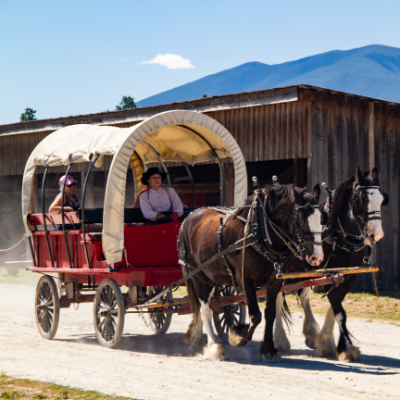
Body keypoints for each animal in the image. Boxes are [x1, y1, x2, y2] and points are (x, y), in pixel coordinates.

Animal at [180, 183, 326, 360]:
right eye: (300, 219)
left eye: (322, 219)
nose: (317, 257)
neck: (259, 233)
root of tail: (191, 216)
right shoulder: (245, 280)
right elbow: (256, 316)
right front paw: (238, 337)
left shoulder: (275, 281)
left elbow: (270, 314)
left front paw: (268, 349)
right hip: (198, 276)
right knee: (205, 309)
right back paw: (214, 345)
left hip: (212, 277)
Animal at [274, 167, 390, 360]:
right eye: (363, 199)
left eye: (382, 199)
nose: (377, 234)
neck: (338, 237)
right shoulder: (329, 275)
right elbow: (339, 311)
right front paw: (347, 346)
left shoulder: (346, 277)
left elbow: (334, 309)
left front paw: (327, 341)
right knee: (277, 298)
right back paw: (280, 340)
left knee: (304, 295)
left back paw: (311, 332)